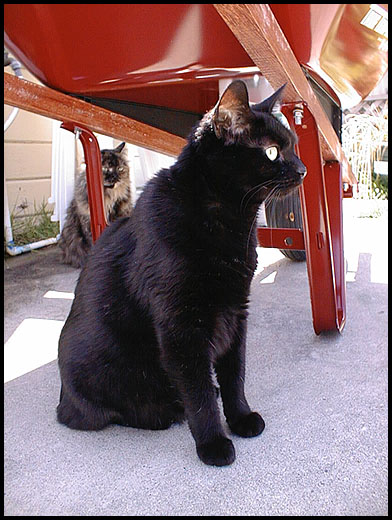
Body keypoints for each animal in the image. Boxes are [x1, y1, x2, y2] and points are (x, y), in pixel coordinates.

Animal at [56, 81, 306, 468]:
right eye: (271, 152)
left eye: (292, 145)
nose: (303, 168)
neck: (230, 222)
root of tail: (62, 399)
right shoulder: (180, 326)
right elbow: (198, 392)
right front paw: (213, 443)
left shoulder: (236, 311)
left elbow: (235, 373)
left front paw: (240, 418)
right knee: (120, 411)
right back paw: (166, 410)